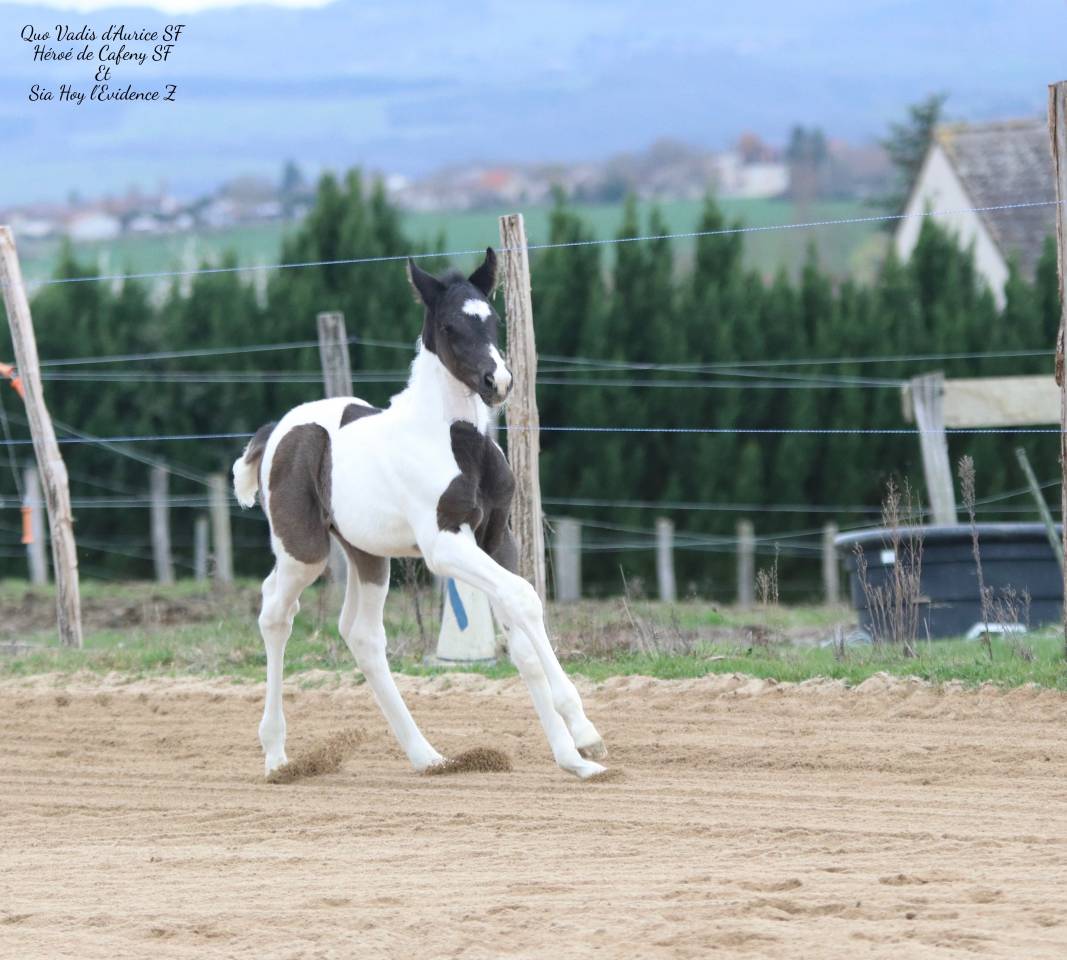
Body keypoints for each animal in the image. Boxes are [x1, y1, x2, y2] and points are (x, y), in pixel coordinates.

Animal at [232, 248, 607, 779]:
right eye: (450, 325)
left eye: (493, 320)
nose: (499, 382)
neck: (457, 442)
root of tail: (276, 431)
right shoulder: (444, 545)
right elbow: (523, 596)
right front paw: (585, 732)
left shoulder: (498, 538)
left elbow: (520, 629)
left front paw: (574, 759)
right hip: (303, 551)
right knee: (275, 614)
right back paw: (277, 756)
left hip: (368, 555)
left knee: (362, 635)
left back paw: (427, 756)